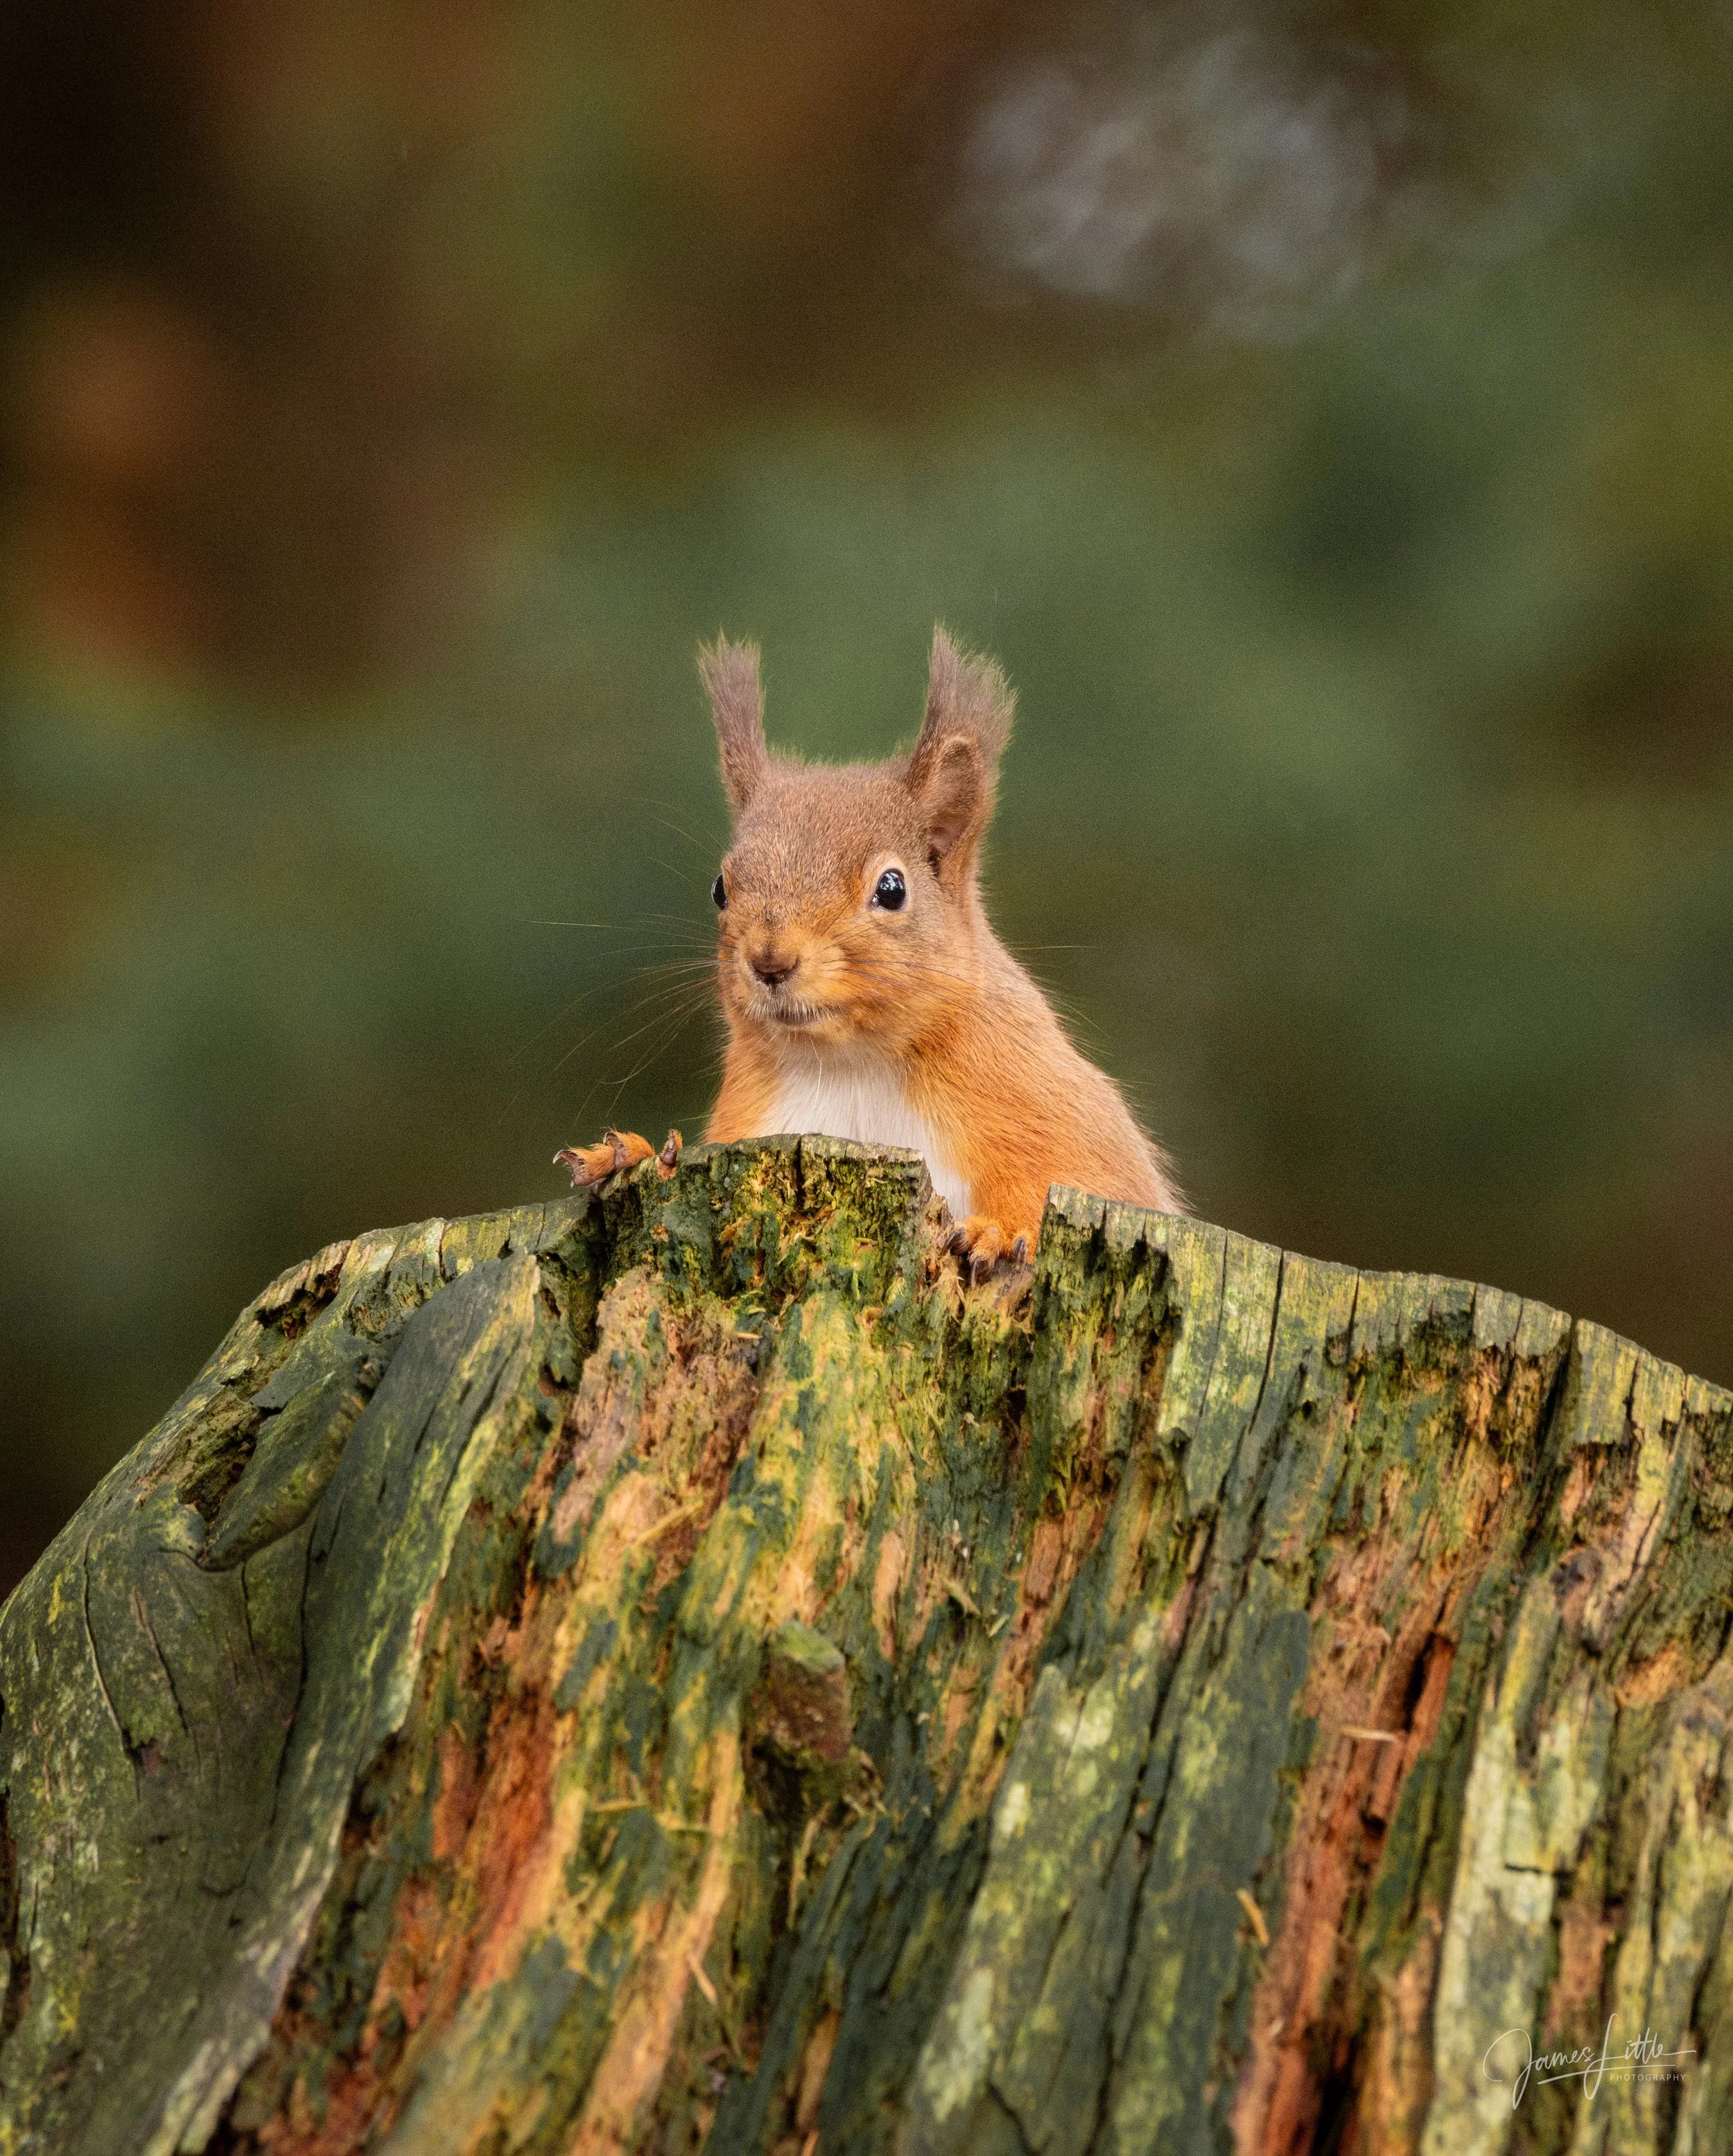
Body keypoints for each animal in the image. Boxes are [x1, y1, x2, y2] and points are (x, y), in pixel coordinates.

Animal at [557, 626, 1182, 1278]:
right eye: (720, 888)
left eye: (892, 888)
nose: (771, 961)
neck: (850, 1065)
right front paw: (628, 1154)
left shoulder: (1058, 1109)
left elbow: (1078, 1179)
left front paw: (997, 1230)